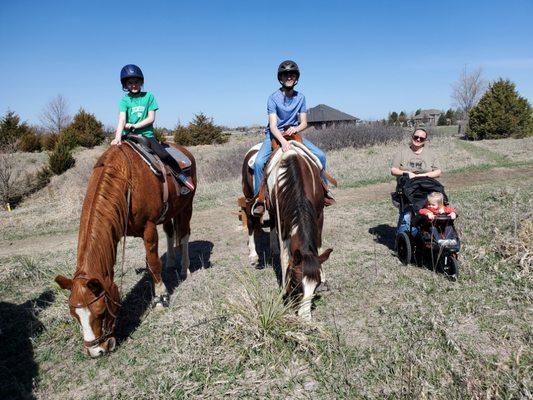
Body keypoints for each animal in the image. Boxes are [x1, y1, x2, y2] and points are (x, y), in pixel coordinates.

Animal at [54, 143, 195, 356]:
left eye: (101, 312)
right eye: (74, 315)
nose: (96, 351)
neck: (126, 180)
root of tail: (184, 151)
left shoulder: (149, 228)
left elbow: (153, 263)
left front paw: (160, 298)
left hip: (187, 207)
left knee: (185, 234)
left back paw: (184, 267)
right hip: (170, 211)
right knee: (170, 232)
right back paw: (171, 262)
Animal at [264, 137, 330, 318]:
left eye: (316, 285)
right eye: (295, 283)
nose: (305, 319)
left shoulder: (319, 215)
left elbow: (318, 244)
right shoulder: (283, 223)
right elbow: (286, 255)